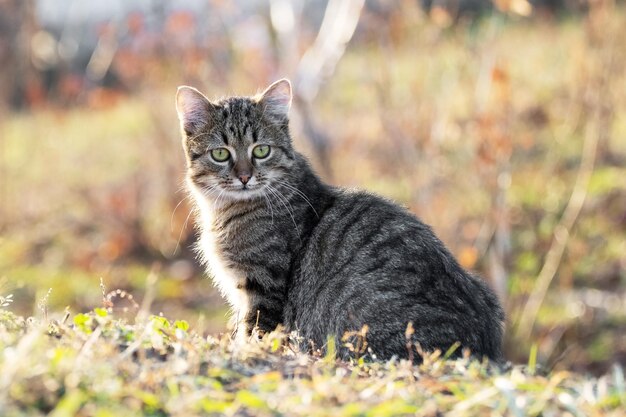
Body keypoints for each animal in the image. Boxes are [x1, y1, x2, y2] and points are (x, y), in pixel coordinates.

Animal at [174, 79, 502, 360]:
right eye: (220, 154)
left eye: (261, 150)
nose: (244, 176)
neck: (225, 210)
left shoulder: (263, 286)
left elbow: (254, 334)